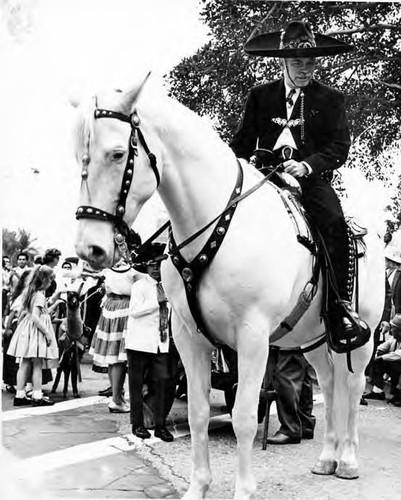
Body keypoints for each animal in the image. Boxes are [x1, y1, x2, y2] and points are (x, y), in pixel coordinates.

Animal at [72, 77, 384, 500]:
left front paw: (243, 490)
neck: (217, 225)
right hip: (315, 339)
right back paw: (327, 458)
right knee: (332, 383)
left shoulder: (252, 338)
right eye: (79, 157)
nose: (90, 248)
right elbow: (200, 412)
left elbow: (244, 417)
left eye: (118, 154)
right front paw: (198, 487)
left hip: (360, 338)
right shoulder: (190, 337)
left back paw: (348, 459)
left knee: (353, 385)